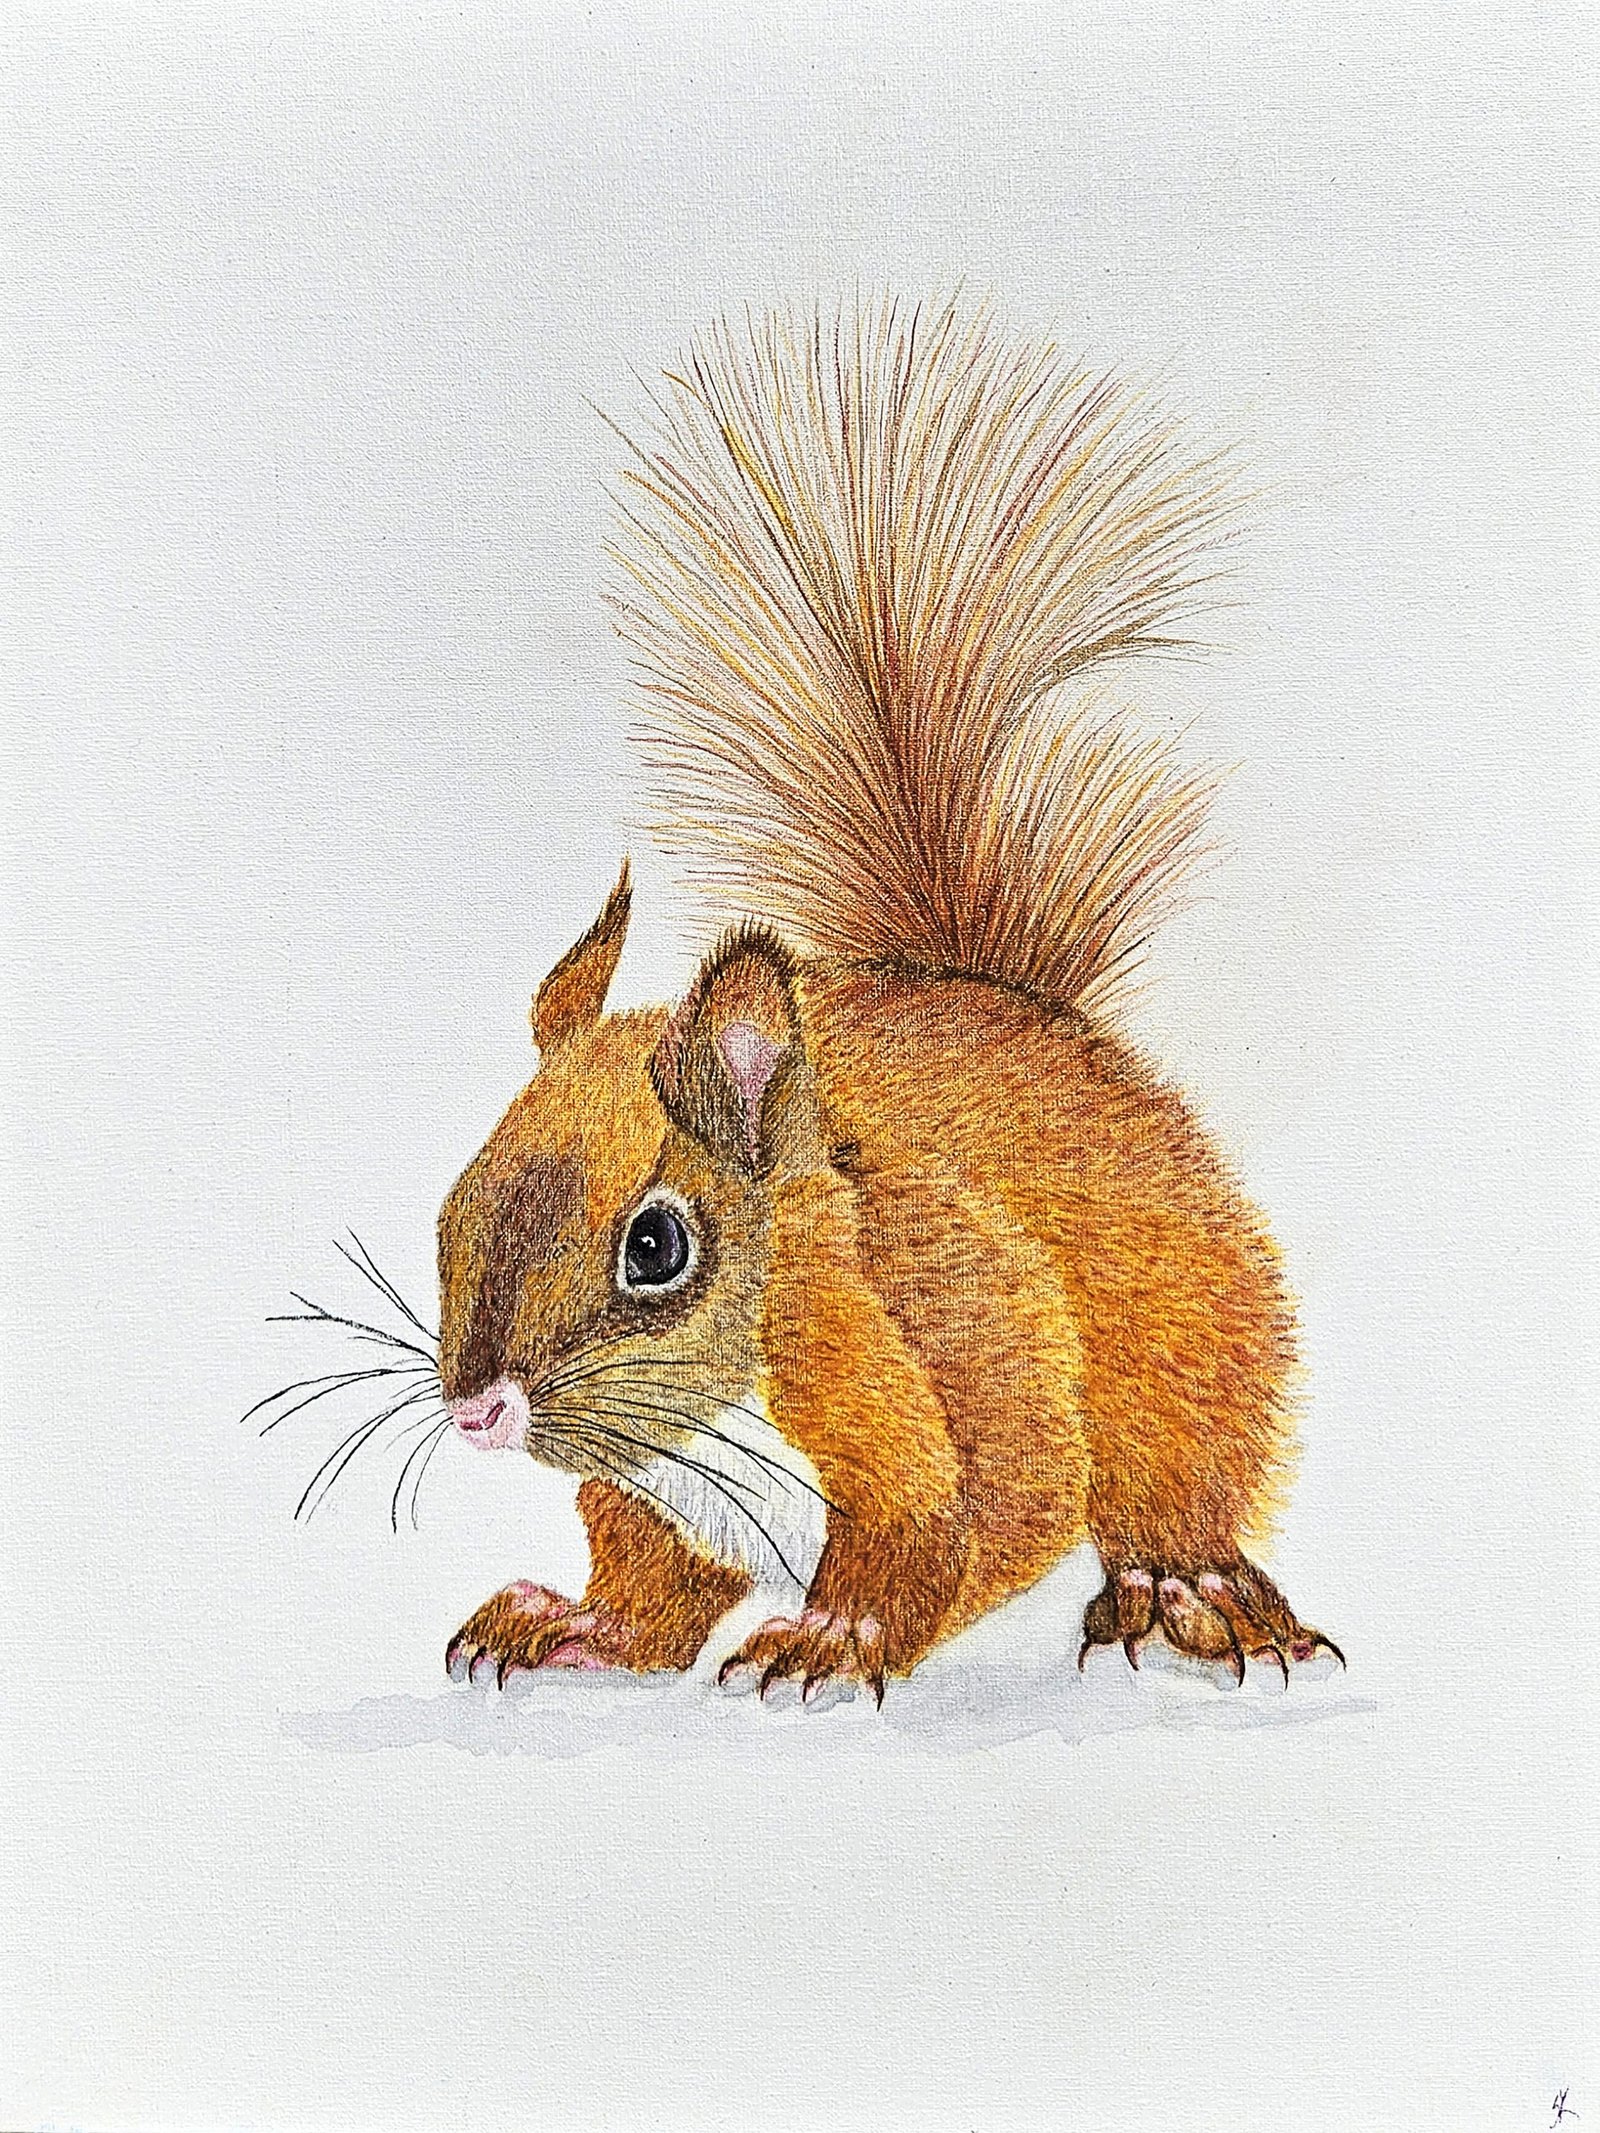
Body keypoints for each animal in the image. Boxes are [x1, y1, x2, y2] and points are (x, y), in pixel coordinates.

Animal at [436, 299, 1342, 1706]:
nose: (478, 1411)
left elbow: (986, 1514)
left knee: (1172, 1482)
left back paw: (1184, 1591)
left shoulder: (944, 1343)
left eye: (657, 1247)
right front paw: (572, 1624)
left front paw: (836, 1635)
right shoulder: (655, 1498)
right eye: (457, 1200)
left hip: (1193, 1349)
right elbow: (650, 1590)